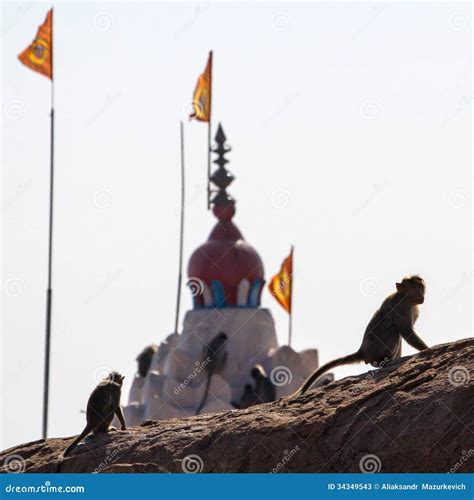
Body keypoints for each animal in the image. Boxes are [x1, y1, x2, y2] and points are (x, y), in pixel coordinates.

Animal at [294, 276, 428, 396]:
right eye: (414, 287)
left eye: (420, 287)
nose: (422, 296)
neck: (406, 297)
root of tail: (362, 351)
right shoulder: (402, 306)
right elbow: (406, 331)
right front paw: (426, 349)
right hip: (376, 349)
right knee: (394, 331)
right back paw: (383, 362)